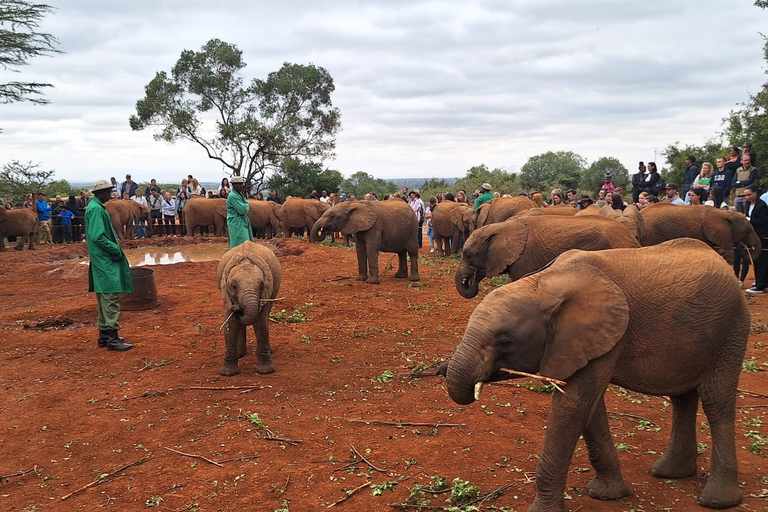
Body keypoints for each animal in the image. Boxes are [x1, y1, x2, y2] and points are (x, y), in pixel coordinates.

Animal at [216, 240, 282, 376]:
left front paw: (266, 371)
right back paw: (241, 354)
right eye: (234, 286)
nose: (237, 308)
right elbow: (230, 325)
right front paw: (228, 374)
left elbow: (261, 324)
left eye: (261, 286)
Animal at [444, 238, 752, 510]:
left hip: (732, 329)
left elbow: (574, 406)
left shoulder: (605, 333)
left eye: (504, 341)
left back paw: (717, 500)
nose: (442, 369)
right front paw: (606, 495)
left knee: (716, 402)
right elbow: (590, 409)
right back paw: (671, 473)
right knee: (682, 398)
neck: (544, 284)